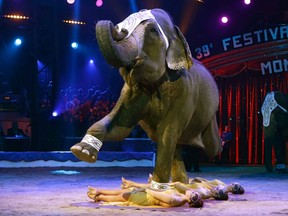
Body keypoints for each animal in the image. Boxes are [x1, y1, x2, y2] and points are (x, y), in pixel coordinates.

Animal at [70, 8, 223, 184]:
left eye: (152, 31)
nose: (118, 28)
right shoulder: (130, 91)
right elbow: (119, 127)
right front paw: (82, 151)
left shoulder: (184, 90)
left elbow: (167, 132)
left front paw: (156, 187)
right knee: (177, 144)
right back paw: (181, 182)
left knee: (211, 146)